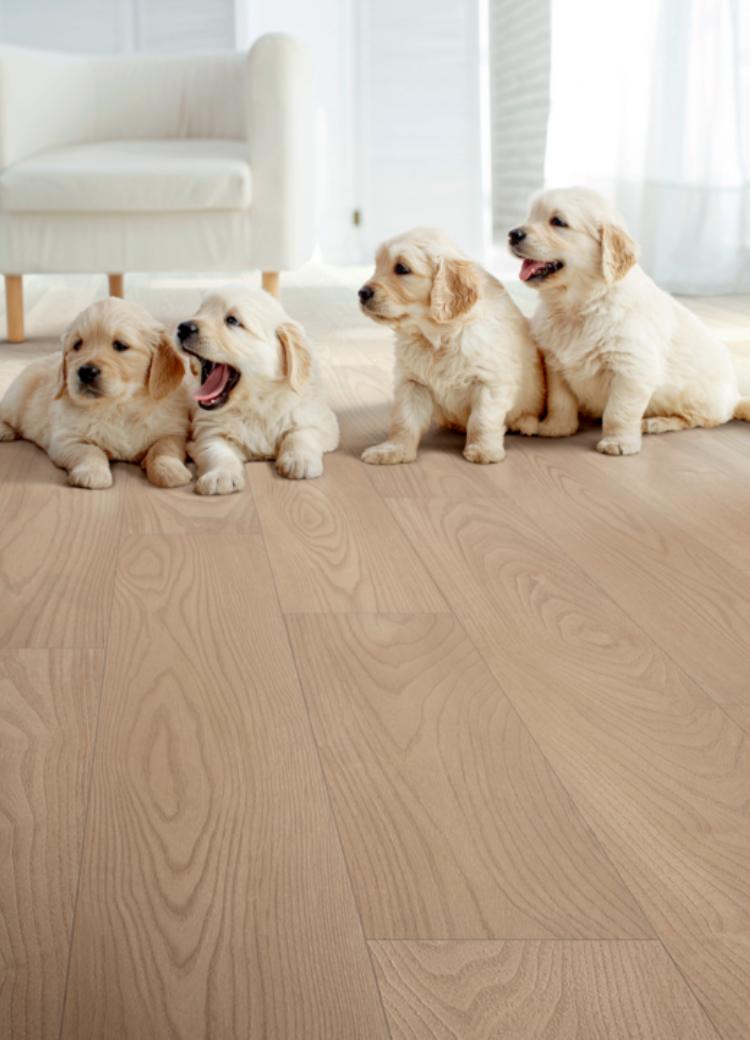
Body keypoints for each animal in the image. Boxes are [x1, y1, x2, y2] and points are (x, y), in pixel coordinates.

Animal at [0, 293, 190, 486]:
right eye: (77, 345)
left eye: (120, 345)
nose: (85, 371)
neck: (119, 408)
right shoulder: (67, 439)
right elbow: (90, 451)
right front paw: (92, 474)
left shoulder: (173, 431)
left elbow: (164, 448)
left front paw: (169, 470)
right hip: (17, 397)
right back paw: (5, 431)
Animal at [175, 284, 339, 495]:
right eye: (199, 312)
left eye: (232, 320)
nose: (183, 327)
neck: (256, 403)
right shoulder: (207, 430)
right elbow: (216, 451)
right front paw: (220, 476)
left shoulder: (320, 420)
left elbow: (302, 433)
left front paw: (298, 459)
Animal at [357, 232, 545, 472]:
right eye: (377, 265)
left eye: (401, 268)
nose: (362, 293)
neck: (437, 337)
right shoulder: (412, 382)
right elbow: (404, 421)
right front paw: (394, 450)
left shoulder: (490, 381)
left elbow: (482, 419)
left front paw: (483, 450)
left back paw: (525, 422)